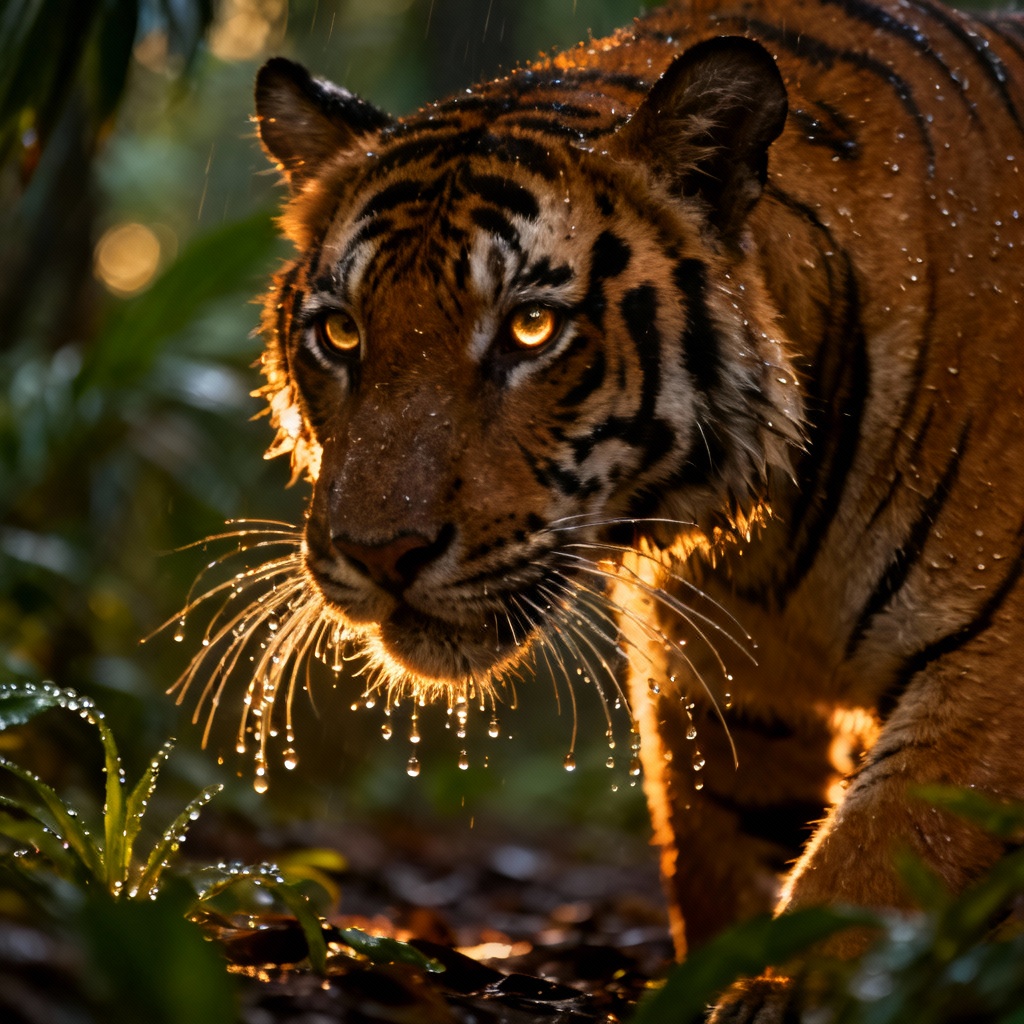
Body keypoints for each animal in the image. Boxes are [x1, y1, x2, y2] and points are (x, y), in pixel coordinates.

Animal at [241, 0, 1024, 1018]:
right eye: (340, 333)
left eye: (530, 327)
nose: (380, 554)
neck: (764, 534)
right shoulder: (726, 693)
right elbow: (720, 862)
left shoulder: (994, 661)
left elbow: (885, 849)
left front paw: (785, 990)